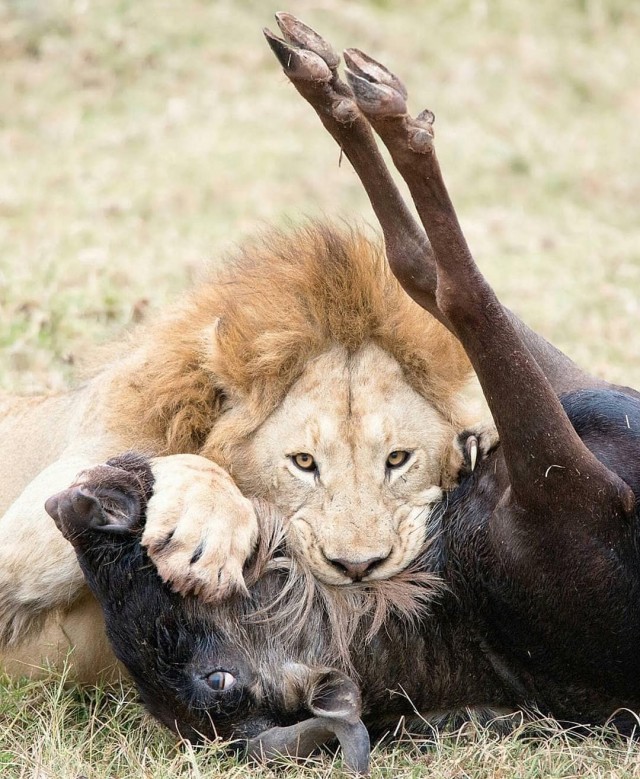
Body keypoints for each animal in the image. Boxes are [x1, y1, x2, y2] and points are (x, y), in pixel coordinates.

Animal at [0, 221, 480, 684]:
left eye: (397, 459)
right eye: (304, 463)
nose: (357, 566)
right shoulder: (23, 541)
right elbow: (164, 462)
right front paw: (205, 531)